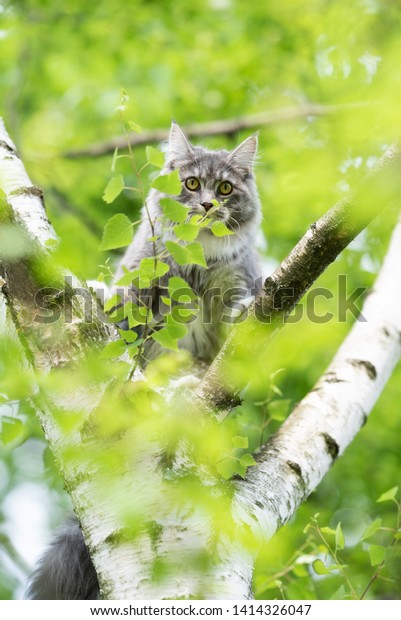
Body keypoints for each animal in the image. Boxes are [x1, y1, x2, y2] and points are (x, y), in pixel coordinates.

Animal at [25, 122, 262, 600]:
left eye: (225, 188)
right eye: (192, 184)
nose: (207, 204)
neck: (197, 262)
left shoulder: (235, 284)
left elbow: (235, 317)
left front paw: (247, 310)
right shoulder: (142, 283)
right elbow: (122, 309)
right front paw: (97, 290)